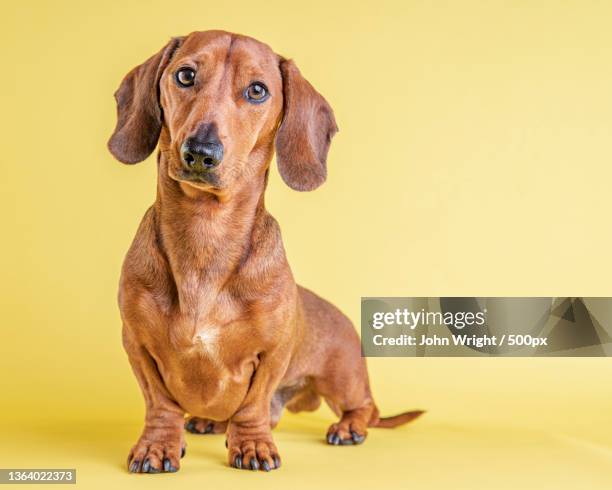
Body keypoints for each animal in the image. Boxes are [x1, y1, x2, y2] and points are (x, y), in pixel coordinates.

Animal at [107, 29, 420, 470]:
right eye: (185, 75)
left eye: (257, 90)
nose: (201, 152)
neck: (207, 231)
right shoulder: (138, 345)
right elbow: (161, 404)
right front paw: (157, 445)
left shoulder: (271, 355)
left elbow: (252, 406)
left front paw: (252, 444)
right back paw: (209, 421)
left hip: (343, 380)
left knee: (364, 409)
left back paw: (347, 427)